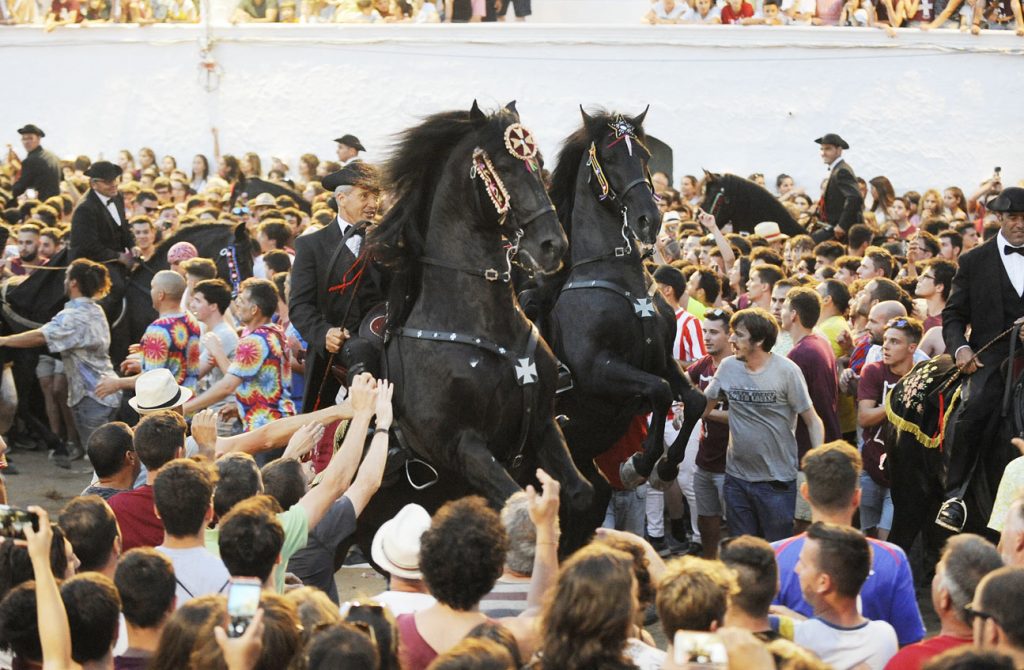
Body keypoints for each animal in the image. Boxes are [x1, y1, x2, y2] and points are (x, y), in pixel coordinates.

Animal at [540, 109, 708, 553]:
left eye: (646, 156)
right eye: (612, 159)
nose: (650, 219)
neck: (616, 273)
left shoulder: (662, 360)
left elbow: (695, 399)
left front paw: (665, 466)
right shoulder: (599, 369)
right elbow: (661, 392)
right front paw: (641, 463)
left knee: (590, 499)